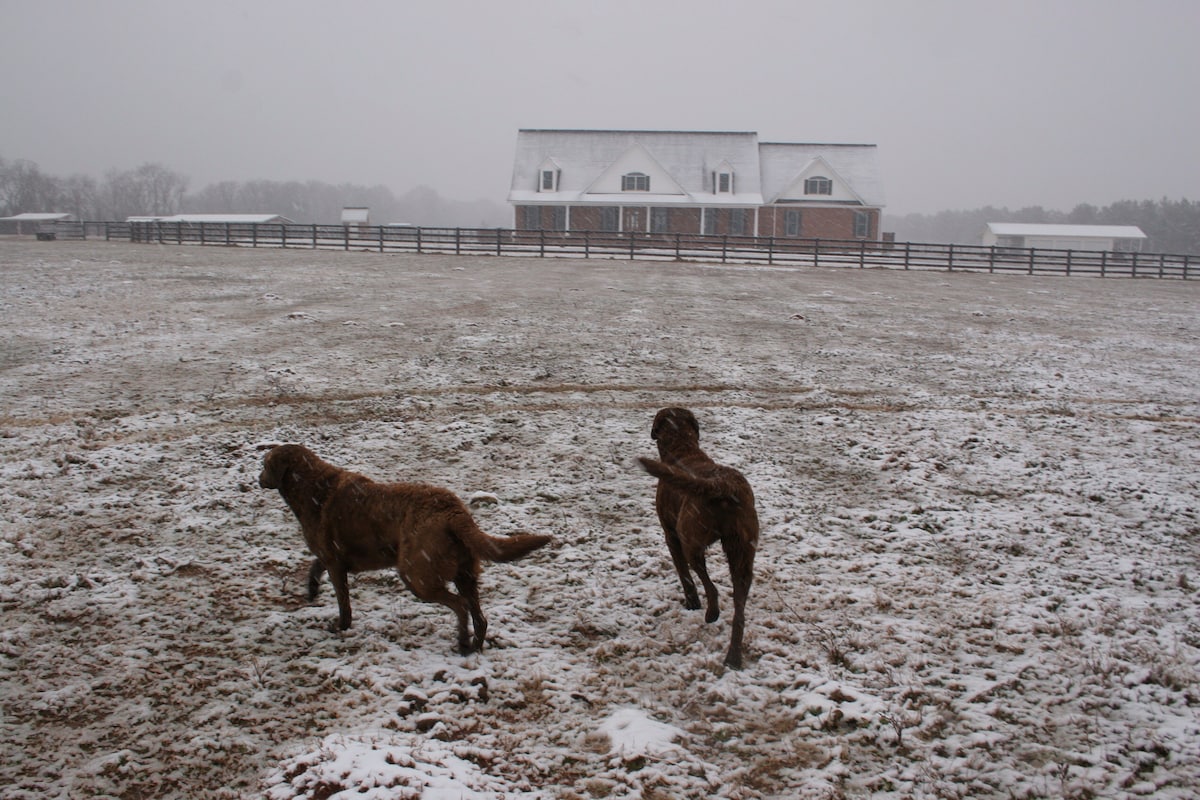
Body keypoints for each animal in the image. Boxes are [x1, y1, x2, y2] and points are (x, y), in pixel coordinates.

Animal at [262, 443, 552, 657]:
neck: (311, 487)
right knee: (478, 615)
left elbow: (343, 602)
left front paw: (341, 627)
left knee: (460, 606)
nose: (258, 478)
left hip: (417, 576)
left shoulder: (334, 561)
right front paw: (312, 591)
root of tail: (453, 510)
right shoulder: (330, 556)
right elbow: (314, 566)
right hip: (466, 574)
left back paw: (462, 643)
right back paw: (474, 647)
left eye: (264, 464)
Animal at [638, 407, 758, 671]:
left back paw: (711, 613)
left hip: (690, 541)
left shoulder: (670, 535)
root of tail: (721, 486)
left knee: (709, 584)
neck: (683, 449)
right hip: (743, 553)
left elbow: (683, 573)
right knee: (739, 612)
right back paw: (733, 659)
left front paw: (691, 602)